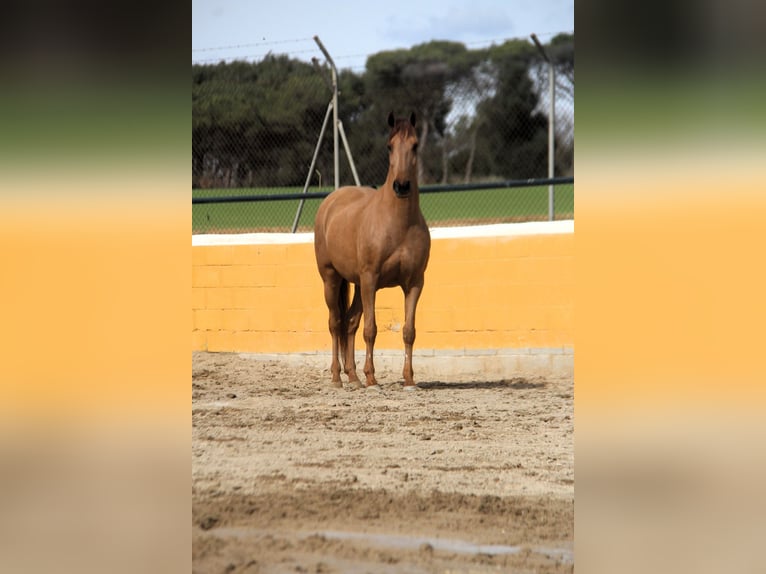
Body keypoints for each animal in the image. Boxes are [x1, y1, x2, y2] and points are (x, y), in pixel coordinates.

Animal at [314, 112, 431, 390]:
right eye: (389, 146)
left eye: (415, 145)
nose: (401, 186)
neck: (398, 223)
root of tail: (330, 202)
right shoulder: (371, 279)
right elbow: (371, 329)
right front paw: (372, 378)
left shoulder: (414, 283)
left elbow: (409, 331)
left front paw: (409, 379)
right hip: (332, 279)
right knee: (335, 323)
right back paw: (337, 377)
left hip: (357, 285)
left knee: (349, 322)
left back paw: (353, 377)